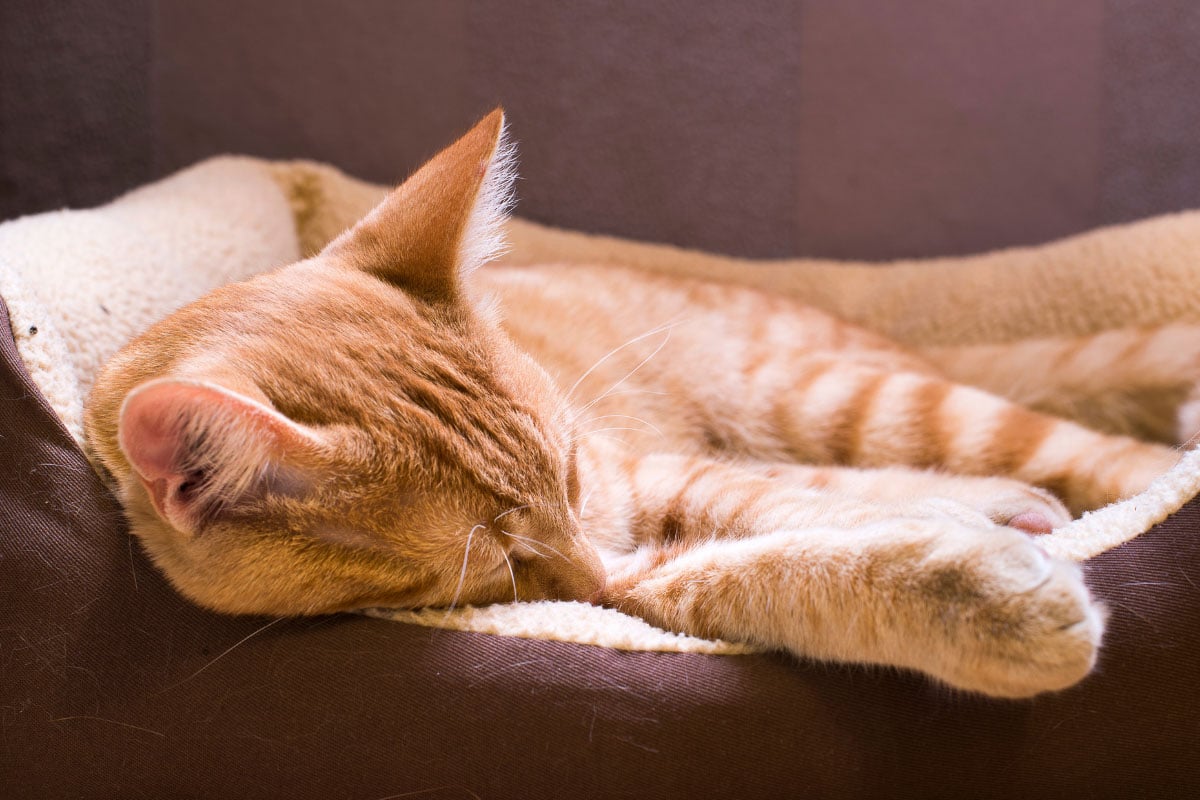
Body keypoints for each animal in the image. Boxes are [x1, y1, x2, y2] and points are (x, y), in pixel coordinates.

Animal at [87, 109, 1190, 695]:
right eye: (498, 562)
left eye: (573, 475)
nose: (587, 572)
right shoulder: (645, 576)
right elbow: (776, 564)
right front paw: (980, 584)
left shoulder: (649, 482)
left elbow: (784, 512)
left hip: (854, 398)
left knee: (1101, 457)